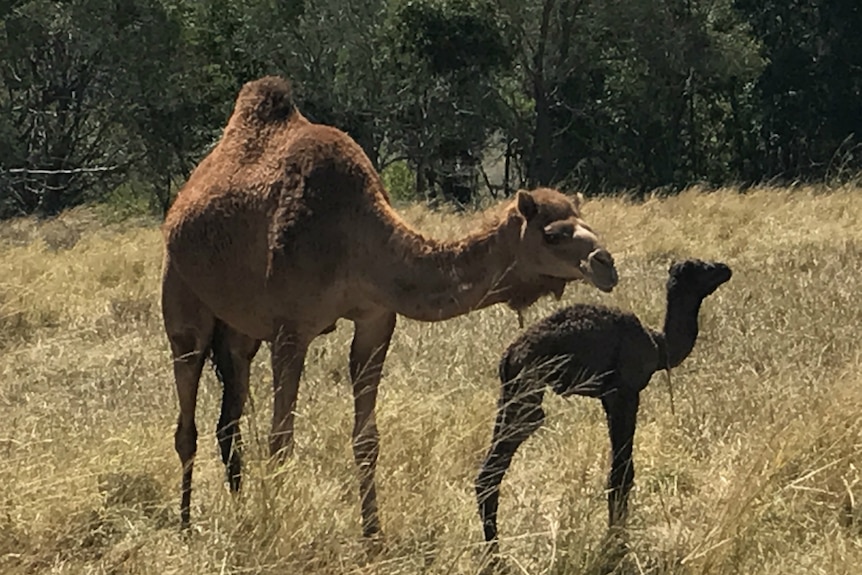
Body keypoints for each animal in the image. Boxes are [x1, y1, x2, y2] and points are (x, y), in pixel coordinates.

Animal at [160, 74, 620, 536]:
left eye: (588, 224)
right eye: (553, 234)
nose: (606, 264)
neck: (353, 236)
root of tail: (179, 207)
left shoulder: (376, 318)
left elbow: (366, 438)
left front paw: (373, 535)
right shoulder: (291, 329)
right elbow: (280, 438)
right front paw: (281, 524)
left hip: (239, 331)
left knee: (228, 418)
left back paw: (238, 510)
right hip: (182, 302)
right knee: (188, 417)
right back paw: (185, 523)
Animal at [476, 258, 732, 552]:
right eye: (704, 268)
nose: (725, 269)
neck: (658, 346)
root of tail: (509, 356)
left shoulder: (608, 399)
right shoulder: (625, 392)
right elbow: (622, 472)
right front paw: (616, 543)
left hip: (509, 393)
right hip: (528, 391)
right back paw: (495, 554)